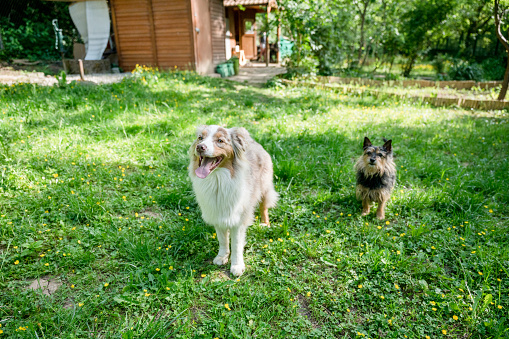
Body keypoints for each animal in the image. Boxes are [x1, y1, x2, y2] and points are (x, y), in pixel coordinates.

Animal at [190, 125, 278, 276]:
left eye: (220, 140)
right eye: (200, 138)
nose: (200, 147)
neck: (218, 180)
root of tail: (252, 140)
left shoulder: (238, 218)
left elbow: (236, 244)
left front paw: (237, 266)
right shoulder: (217, 215)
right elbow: (223, 240)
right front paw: (222, 256)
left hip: (265, 185)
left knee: (263, 206)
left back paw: (264, 223)